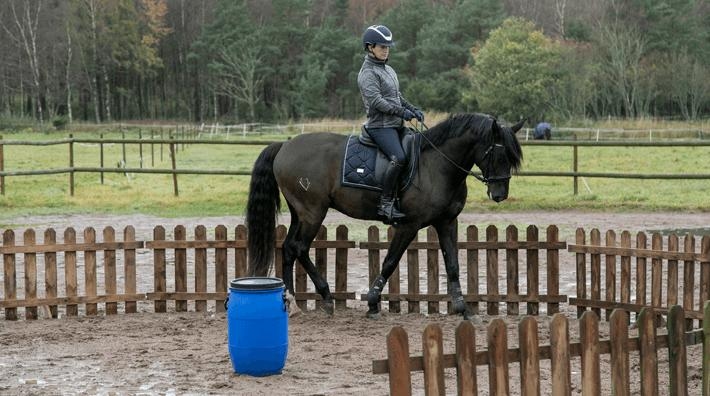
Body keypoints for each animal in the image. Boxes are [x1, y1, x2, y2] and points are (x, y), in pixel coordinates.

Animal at [248, 113, 524, 318]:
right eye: (498, 153)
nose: (500, 194)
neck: (437, 165)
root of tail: (285, 145)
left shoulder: (446, 222)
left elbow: (453, 263)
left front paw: (462, 308)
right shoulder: (409, 225)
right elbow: (390, 261)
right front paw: (372, 302)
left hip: (300, 213)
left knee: (288, 248)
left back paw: (291, 301)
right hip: (313, 212)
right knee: (299, 247)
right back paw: (324, 297)